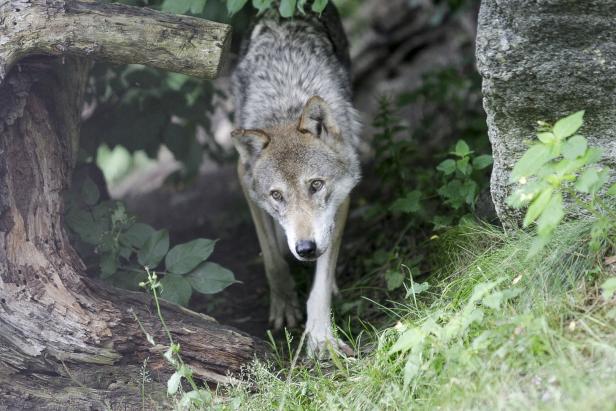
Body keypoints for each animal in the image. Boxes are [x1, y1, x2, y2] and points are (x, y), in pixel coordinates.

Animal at [231, 4, 360, 358]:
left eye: (316, 185)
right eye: (277, 195)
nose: (305, 248)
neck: (287, 107)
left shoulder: (342, 199)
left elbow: (320, 284)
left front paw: (320, 337)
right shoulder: (244, 179)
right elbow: (273, 259)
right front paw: (284, 304)